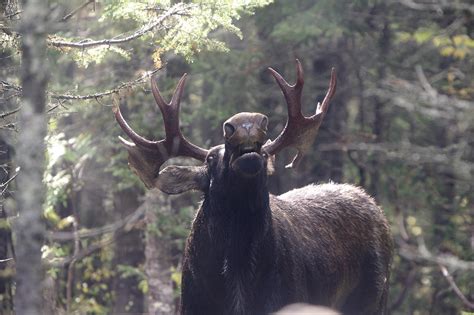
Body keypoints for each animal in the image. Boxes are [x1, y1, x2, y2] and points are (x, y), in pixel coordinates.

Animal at [114, 60, 392, 314]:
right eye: (210, 158)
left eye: (266, 153)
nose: (246, 123)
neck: (238, 279)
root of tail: (376, 209)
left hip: (373, 297)